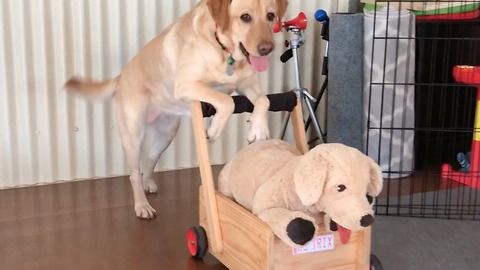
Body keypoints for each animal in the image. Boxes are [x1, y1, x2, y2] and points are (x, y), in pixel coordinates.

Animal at [65, 0, 286, 218]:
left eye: (270, 16)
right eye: (245, 17)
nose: (267, 49)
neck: (223, 50)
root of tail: (121, 75)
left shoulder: (247, 83)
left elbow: (264, 101)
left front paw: (258, 128)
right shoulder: (187, 85)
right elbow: (226, 101)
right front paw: (215, 129)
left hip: (166, 136)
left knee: (149, 161)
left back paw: (148, 184)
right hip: (133, 136)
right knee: (134, 174)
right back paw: (142, 205)